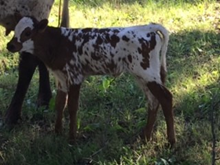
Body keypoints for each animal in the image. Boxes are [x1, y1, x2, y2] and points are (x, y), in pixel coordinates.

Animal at [6, 15, 176, 146]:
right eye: (15, 30)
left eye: (28, 32)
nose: (10, 45)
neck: (57, 42)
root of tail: (148, 28)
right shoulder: (60, 78)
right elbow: (60, 104)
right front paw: (57, 133)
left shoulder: (75, 76)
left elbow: (72, 107)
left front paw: (72, 139)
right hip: (142, 76)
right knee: (153, 100)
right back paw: (146, 137)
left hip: (147, 73)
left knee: (166, 98)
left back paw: (171, 142)